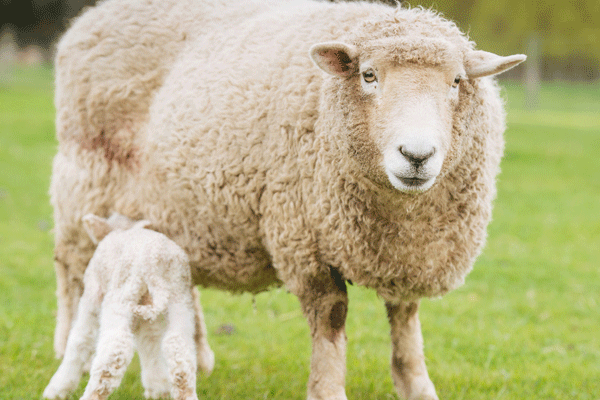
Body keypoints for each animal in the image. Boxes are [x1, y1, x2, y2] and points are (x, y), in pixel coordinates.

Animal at [43, 214, 207, 400]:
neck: (121, 229)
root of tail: (152, 262)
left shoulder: (92, 293)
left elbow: (80, 339)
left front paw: (57, 388)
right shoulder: (147, 314)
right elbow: (149, 341)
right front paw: (158, 389)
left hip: (120, 297)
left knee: (114, 350)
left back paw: (91, 394)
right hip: (179, 299)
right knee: (178, 348)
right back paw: (186, 393)